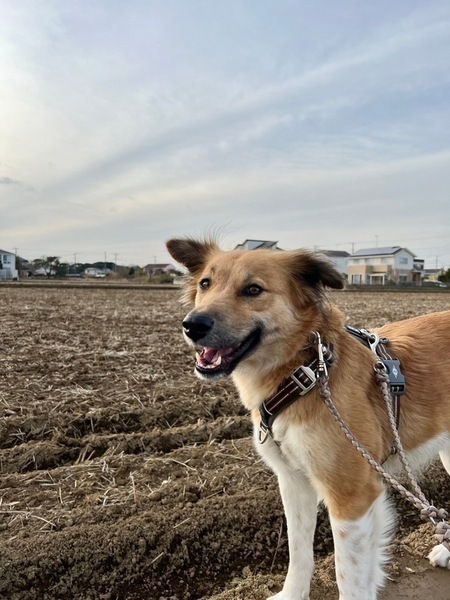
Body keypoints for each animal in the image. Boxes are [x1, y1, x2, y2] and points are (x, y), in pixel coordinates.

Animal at [166, 237, 450, 600]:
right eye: (205, 283)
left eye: (253, 289)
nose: (193, 325)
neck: (305, 373)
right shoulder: (293, 481)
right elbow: (298, 551)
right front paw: (291, 594)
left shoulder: (351, 495)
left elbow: (349, 577)